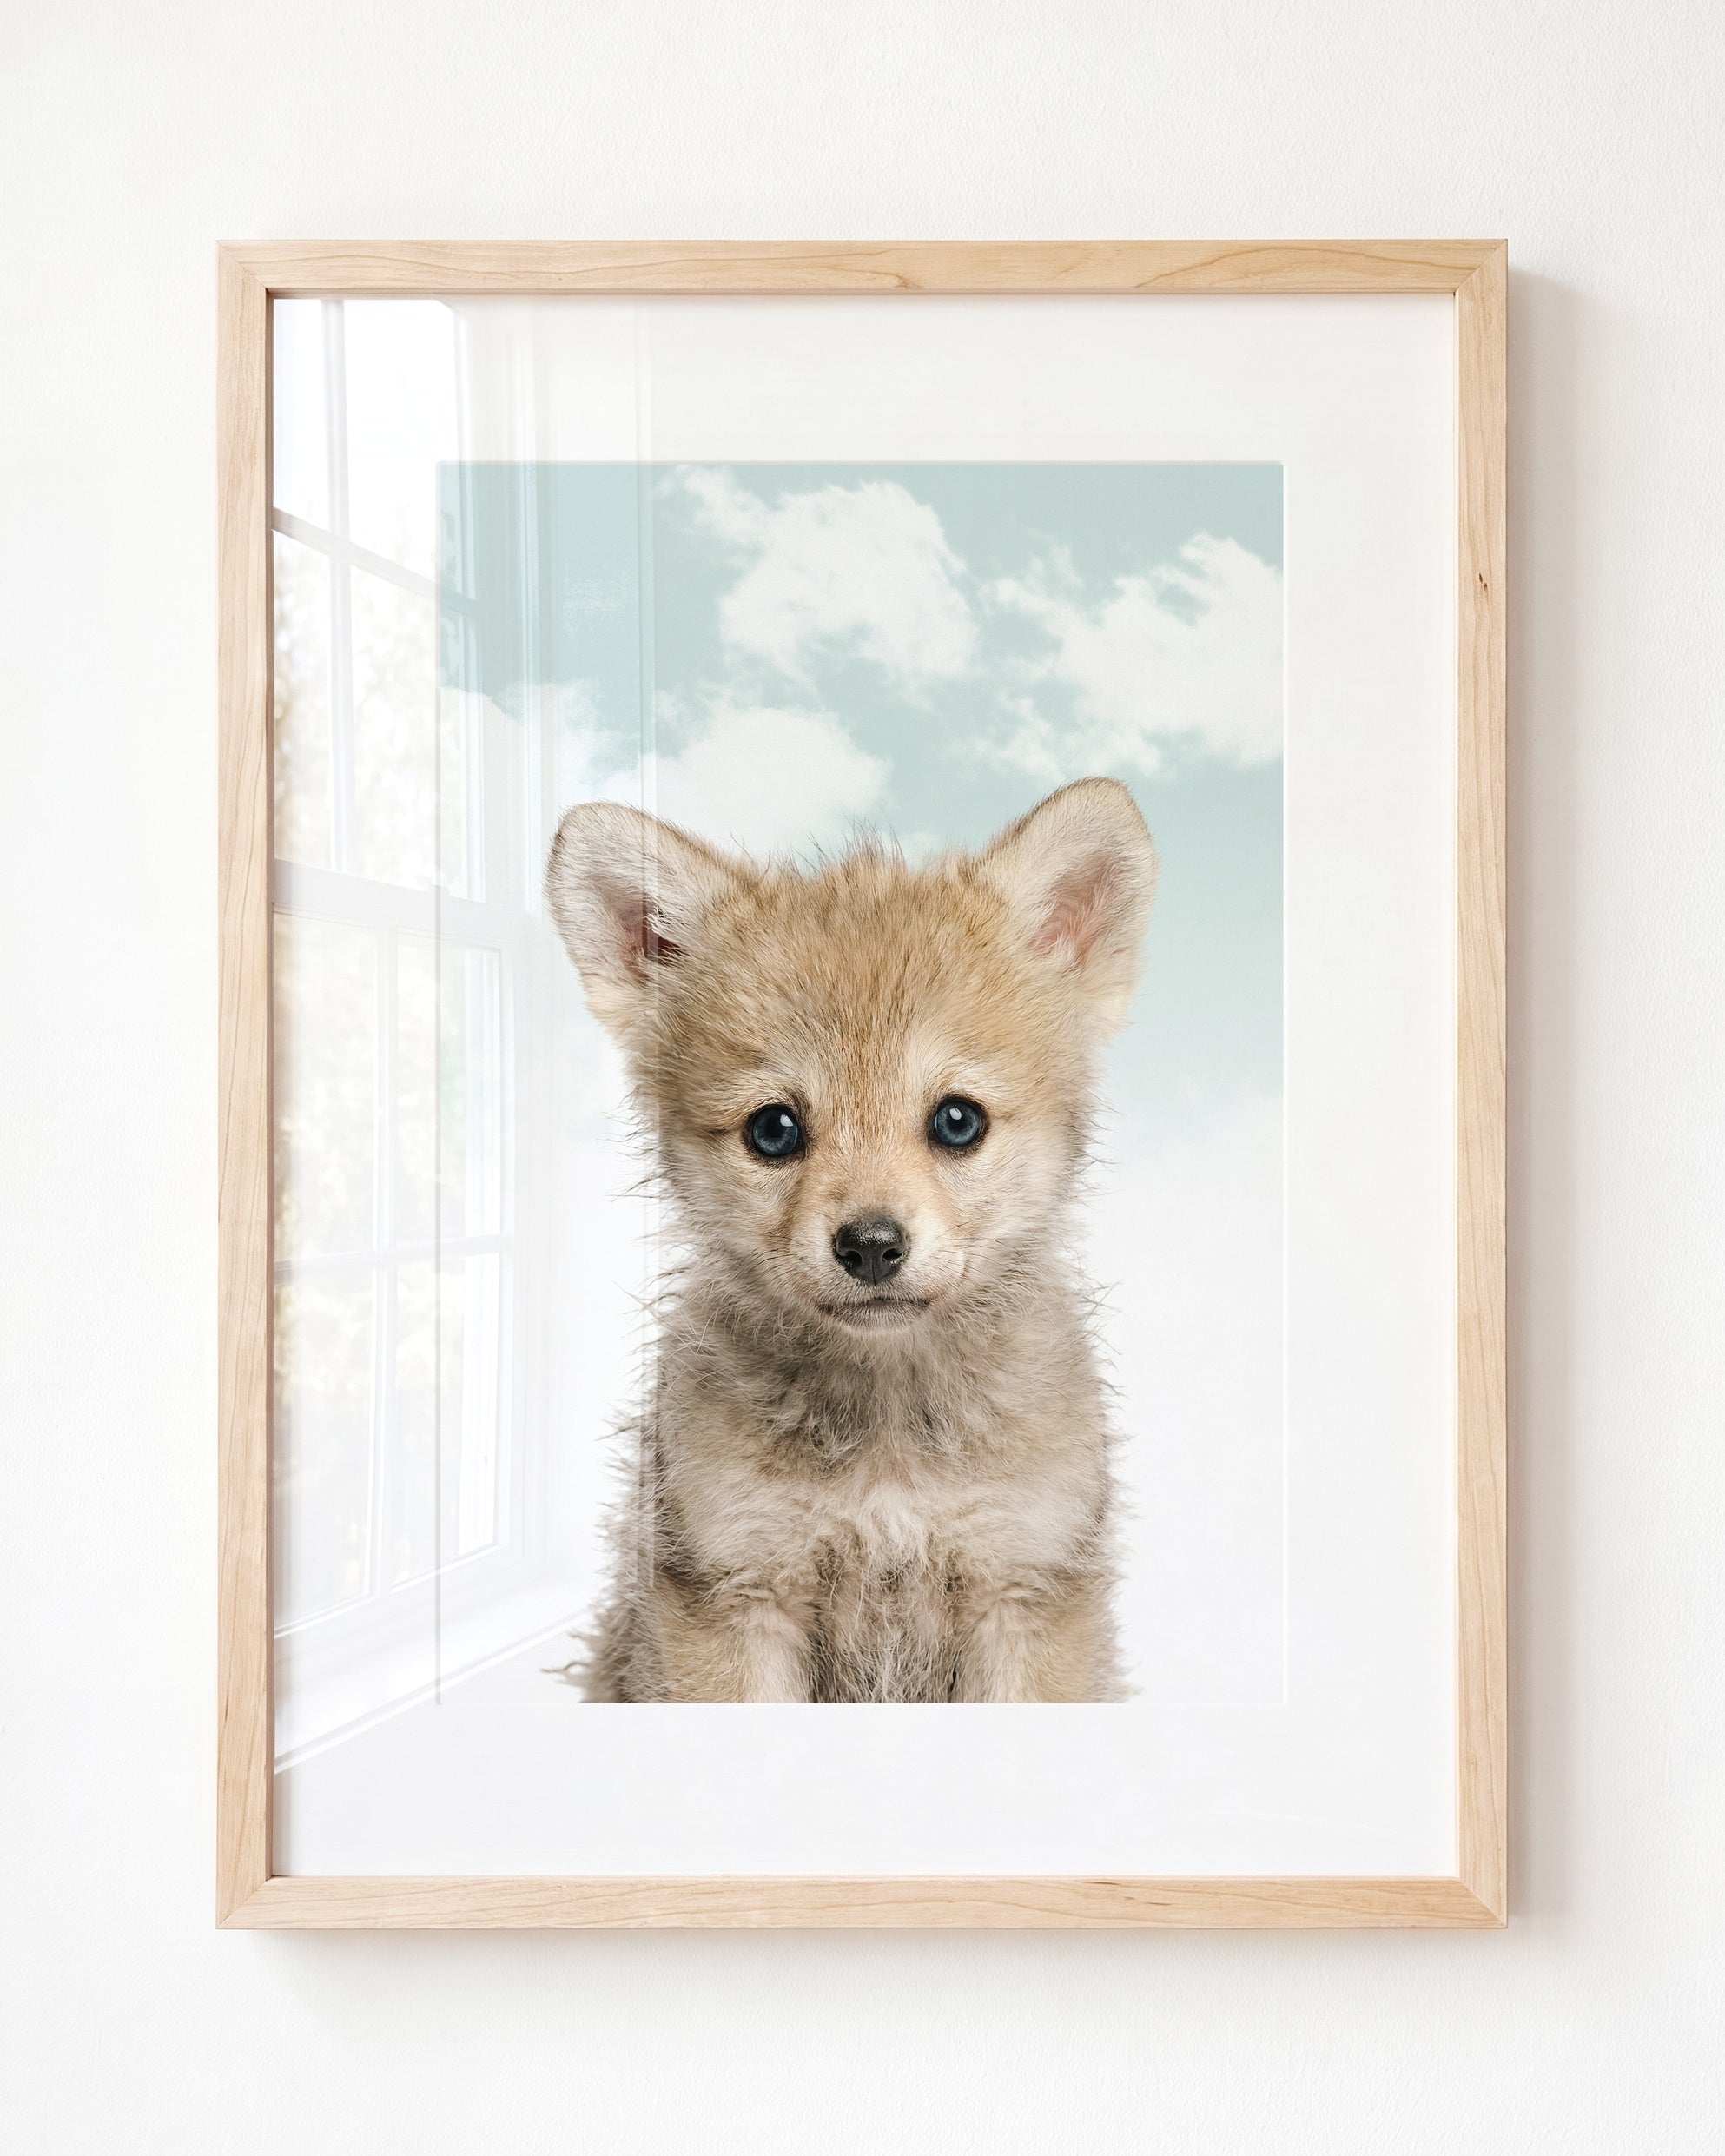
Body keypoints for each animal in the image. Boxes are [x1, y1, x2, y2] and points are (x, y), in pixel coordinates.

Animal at [545, 777, 1158, 1702]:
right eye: (773, 1131)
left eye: (957, 1121)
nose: (871, 1245)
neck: (888, 1442)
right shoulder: (735, 1593)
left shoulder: (1023, 1589)